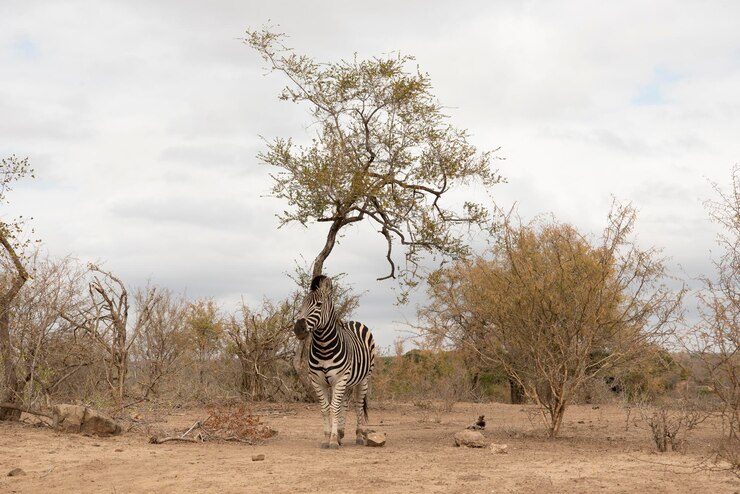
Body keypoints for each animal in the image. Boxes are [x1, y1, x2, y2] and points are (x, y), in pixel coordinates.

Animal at [294, 276, 376, 450]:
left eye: (319, 304)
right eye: (302, 304)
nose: (298, 329)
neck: (324, 347)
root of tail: (355, 322)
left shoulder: (339, 379)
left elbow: (334, 408)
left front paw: (332, 440)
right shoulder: (317, 381)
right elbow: (326, 408)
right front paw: (328, 438)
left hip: (363, 379)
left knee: (358, 404)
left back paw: (359, 436)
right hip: (349, 381)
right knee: (345, 403)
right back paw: (340, 433)